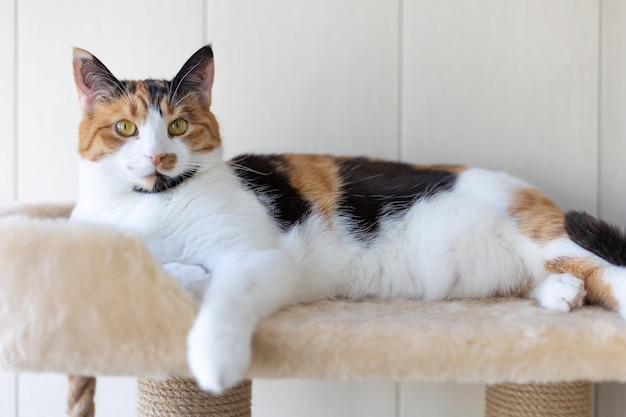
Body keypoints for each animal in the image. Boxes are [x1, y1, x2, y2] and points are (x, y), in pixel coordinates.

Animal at [69, 45, 624, 394]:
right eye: (125, 128)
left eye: (179, 126)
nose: (158, 157)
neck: (153, 203)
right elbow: (163, 270)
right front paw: (184, 273)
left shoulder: (258, 259)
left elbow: (224, 298)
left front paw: (213, 361)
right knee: (562, 278)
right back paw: (562, 293)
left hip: (547, 235)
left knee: (606, 273)